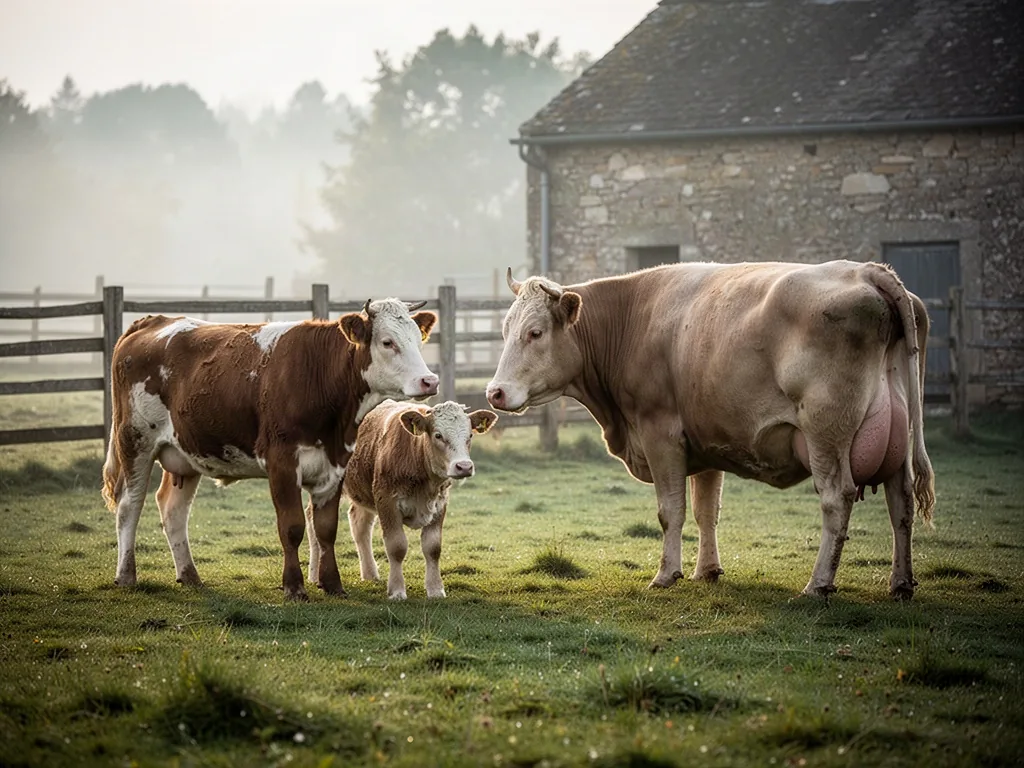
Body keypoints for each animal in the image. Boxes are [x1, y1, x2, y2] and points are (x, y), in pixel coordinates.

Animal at [101, 298, 438, 601]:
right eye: (387, 342)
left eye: (417, 339)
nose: (429, 380)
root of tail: (152, 321)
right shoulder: (282, 463)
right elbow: (292, 527)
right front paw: (294, 587)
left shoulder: (336, 464)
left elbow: (326, 529)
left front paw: (333, 585)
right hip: (135, 441)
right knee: (129, 506)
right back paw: (126, 575)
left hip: (185, 452)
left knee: (173, 510)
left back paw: (190, 575)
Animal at [322, 399, 497, 599]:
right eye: (438, 435)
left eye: (470, 435)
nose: (464, 466)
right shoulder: (387, 502)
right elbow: (396, 547)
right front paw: (397, 590)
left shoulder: (439, 504)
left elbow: (433, 548)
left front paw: (435, 589)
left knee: (360, 526)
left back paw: (370, 574)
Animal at [486, 261, 935, 600]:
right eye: (505, 331)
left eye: (535, 333)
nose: (494, 392)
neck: (633, 319)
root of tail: (867, 271)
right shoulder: (706, 444)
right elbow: (706, 511)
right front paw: (708, 571)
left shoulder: (660, 433)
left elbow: (671, 511)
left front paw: (666, 575)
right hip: (896, 444)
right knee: (900, 504)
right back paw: (901, 583)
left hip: (826, 433)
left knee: (836, 499)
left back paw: (818, 585)